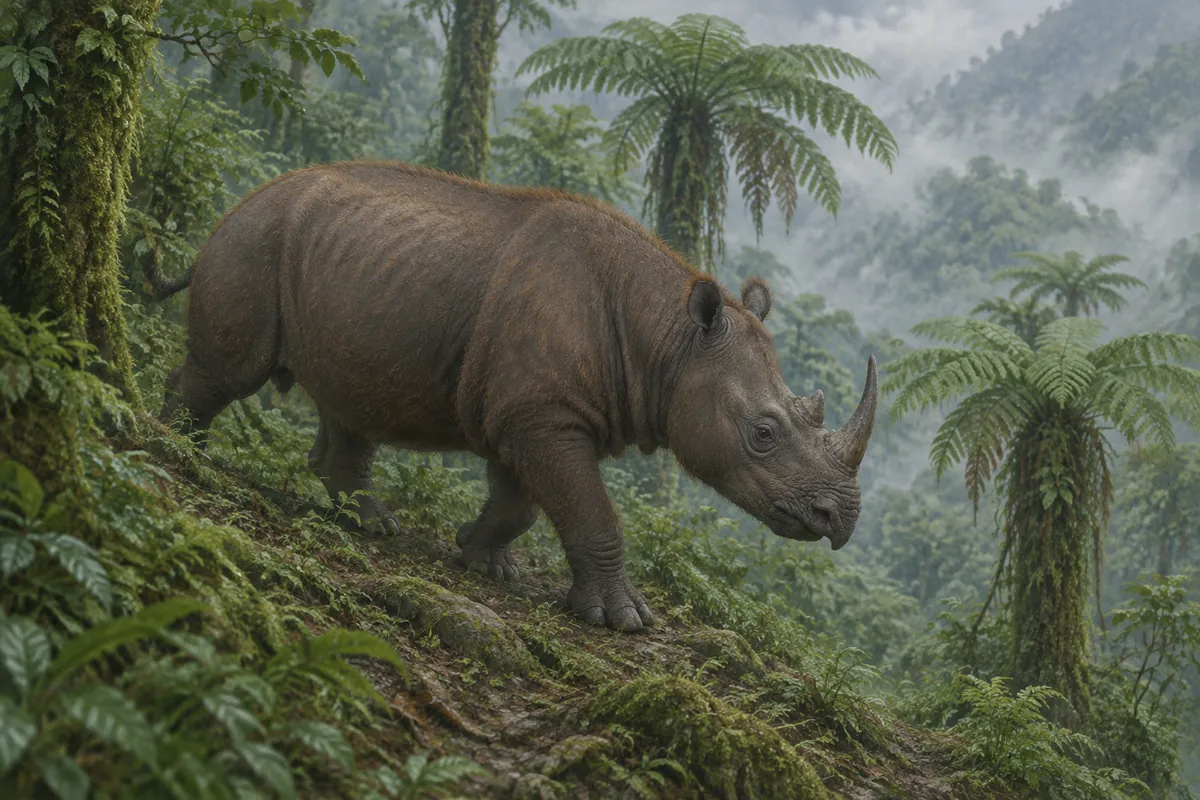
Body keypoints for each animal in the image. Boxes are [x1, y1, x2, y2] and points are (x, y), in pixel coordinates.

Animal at [162, 162, 878, 632]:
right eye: (763, 433)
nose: (838, 520)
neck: (668, 337)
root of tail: (242, 202)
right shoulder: (544, 415)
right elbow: (589, 511)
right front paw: (623, 620)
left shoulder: (526, 412)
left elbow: (522, 505)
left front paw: (480, 558)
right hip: (255, 239)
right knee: (233, 372)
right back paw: (179, 451)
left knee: (346, 397)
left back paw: (370, 524)